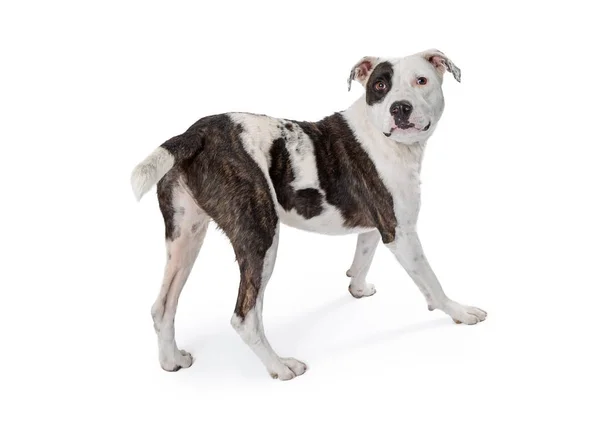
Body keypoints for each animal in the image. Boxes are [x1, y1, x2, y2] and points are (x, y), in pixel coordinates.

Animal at [129, 48, 486, 380]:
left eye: (421, 80)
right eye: (380, 86)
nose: (400, 107)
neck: (379, 134)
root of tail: (195, 134)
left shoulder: (377, 223)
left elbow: (363, 255)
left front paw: (357, 288)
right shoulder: (402, 233)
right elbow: (431, 281)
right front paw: (460, 311)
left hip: (185, 237)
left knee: (163, 306)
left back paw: (171, 360)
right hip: (260, 239)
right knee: (244, 316)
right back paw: (280, 366)